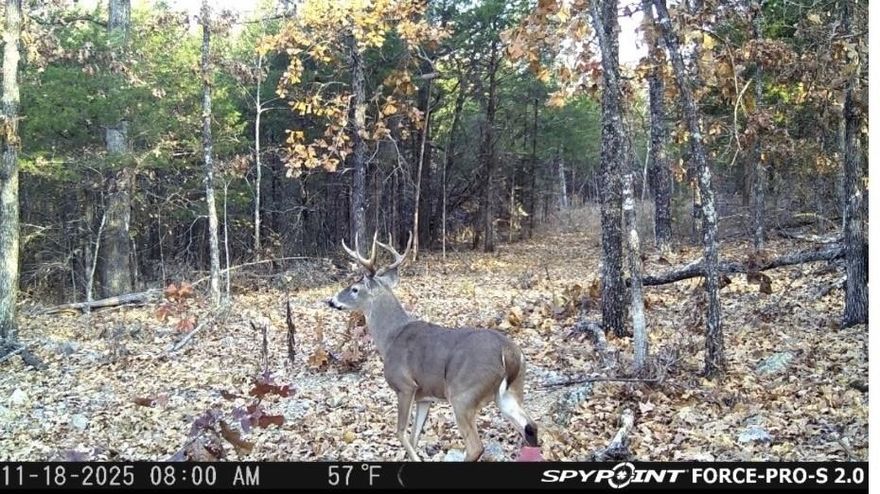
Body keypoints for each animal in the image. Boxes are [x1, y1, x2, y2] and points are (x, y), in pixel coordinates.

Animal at [327, 231, 540, 462]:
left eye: (355, 289)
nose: (331, 300)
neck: (391, 337)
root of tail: (509, 352)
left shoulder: (405, 385)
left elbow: (401, 432)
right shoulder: (425, 397)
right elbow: (414, 436)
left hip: (463, 393)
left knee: (476, 446)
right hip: (511, 391)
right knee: (531, 426)